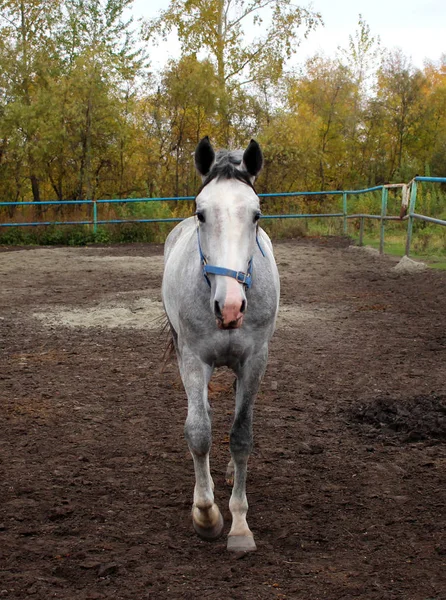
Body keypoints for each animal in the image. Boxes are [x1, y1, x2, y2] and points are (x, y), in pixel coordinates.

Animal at [160, 137, 278, 552]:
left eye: (256, 215)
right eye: (201, 213)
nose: (229, 307)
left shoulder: (254, 361)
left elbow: (241, 436)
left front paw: (240, 525)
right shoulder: (194, 359)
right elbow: (199, 432)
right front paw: (206, 514)